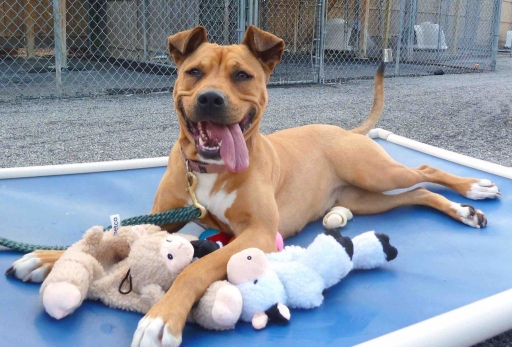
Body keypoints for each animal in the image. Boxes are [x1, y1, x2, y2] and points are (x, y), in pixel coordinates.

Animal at [7, 25, 500, 346]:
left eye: (242, 75)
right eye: (194, 72)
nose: (211, 98)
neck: (207, 170)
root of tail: (345, 130)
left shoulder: (258, 233)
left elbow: (197, 267)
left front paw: (163, 318)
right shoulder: (165, 220)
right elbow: (113, 237)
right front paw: (46, 258)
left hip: (374, 171)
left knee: (426, 173)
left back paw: (473, 194)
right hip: (364, 195)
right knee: (412, 194)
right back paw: (349, 214)